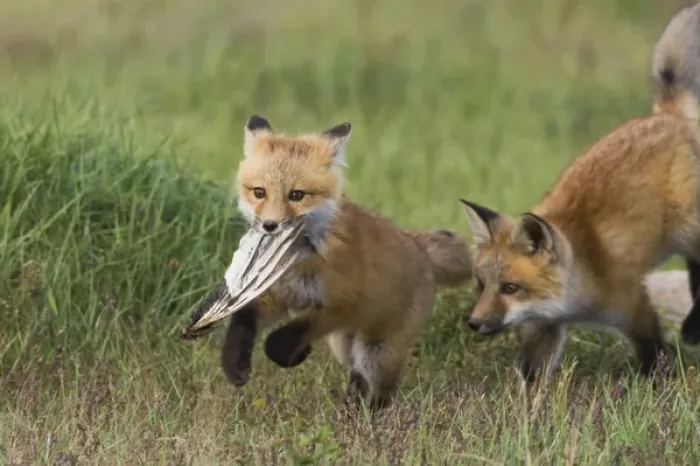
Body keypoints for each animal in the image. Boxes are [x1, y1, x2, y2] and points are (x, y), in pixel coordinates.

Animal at [218, 115, 473, 410]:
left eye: (297, 195)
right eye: (259, 192)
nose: (270, 226)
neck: (298, 264)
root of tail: (417, 244)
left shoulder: (342, 305)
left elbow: (279, 344)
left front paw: (293, 353)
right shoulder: (276, 294)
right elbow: (243, 320)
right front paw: (235, 364)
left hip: (376, 349)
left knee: (382, 390)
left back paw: (372, 416)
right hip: (344, 344)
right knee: (358, 378)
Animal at [458, 4, 700, 382]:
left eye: (510, 288)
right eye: (481, 285)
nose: (473, 322)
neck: (573, 297)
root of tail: (667, 117)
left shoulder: (635, 305)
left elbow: (654, 356)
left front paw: (657, 385)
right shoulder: (544, 325)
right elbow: (531, 375)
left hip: (689, 229)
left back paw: (693, 327)